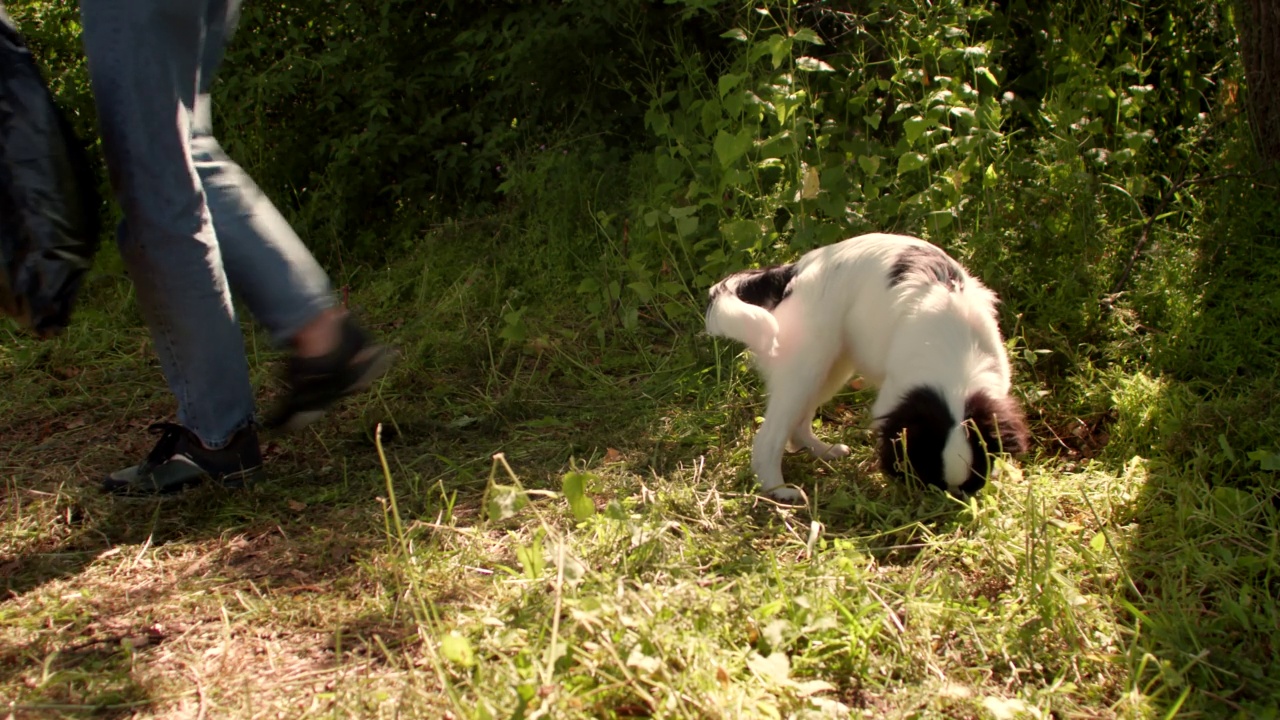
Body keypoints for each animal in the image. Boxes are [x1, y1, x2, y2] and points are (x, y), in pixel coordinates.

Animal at [711, 233, 1029, 502]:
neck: (955, 370)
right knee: (769, 437)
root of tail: (797, 269)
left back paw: (823, 452)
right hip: (807, 365)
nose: (949, 500)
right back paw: (778, 490)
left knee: (799, 424)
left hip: (831, 367)